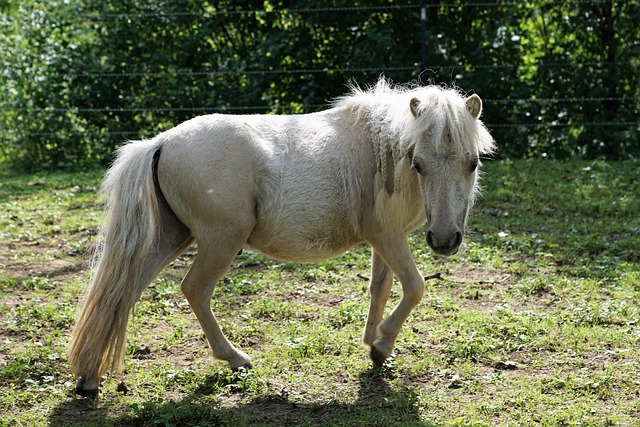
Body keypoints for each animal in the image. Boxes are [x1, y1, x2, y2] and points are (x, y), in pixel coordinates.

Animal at [69, 78, 496, 396]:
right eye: (418, 163)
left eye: (473, 163)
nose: (445, 241)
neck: (381, 151)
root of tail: (161, 142)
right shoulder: (387, 236)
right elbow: (415, 287)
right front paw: (382, 344)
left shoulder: (384, 241)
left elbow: (381, 287)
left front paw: (373, 345)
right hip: (219, 243)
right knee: (194, 289)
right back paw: (235, 359)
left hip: (172, 238)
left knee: (122, 293)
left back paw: (89, 377)